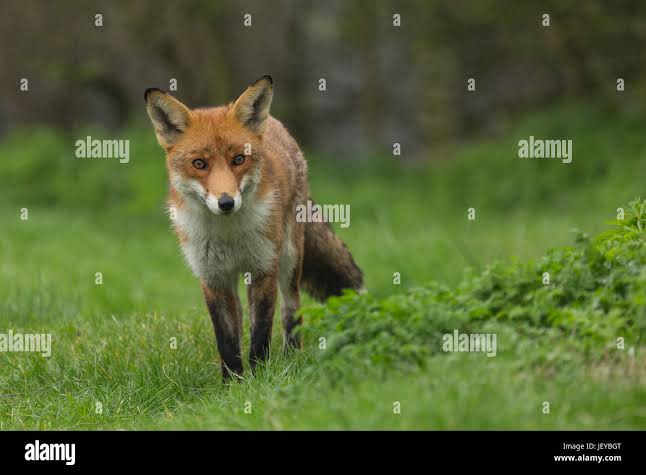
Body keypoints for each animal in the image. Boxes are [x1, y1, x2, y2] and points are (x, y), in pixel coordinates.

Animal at [144, 75, 363, 380]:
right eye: (199, 163)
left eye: (238, 159)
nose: (226, 202)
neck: (228, 235)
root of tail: (276, 124)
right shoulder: (212, 278)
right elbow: (226, 339)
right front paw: (233, 382)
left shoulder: (263, 269)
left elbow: (260, 333)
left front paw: (259, 378)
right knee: (240, 317)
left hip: (290, 258)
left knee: (291, 308)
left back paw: (292, 356)